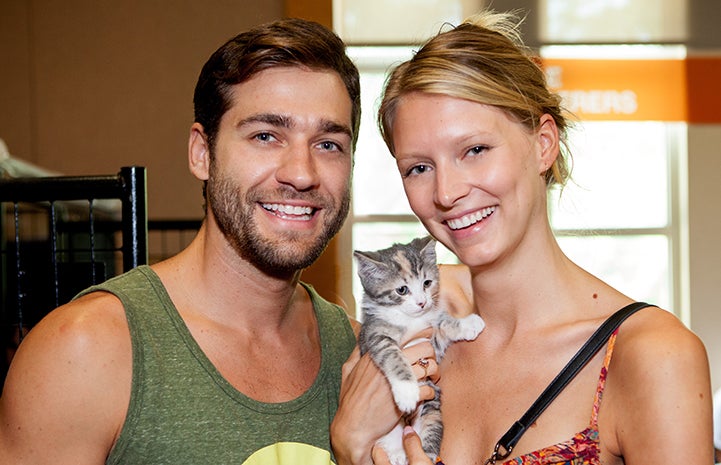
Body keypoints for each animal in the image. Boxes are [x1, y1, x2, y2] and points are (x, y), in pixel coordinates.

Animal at [354, 236, 484, 464]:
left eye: (427, 283)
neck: (408, 319)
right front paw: (406, 391)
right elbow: (392, 354)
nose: (422, 302)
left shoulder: (431, 337)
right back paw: (396, 454)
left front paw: (468, 324)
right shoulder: (373, 334)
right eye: (402, 290)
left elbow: (443, 323)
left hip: (431, 408)